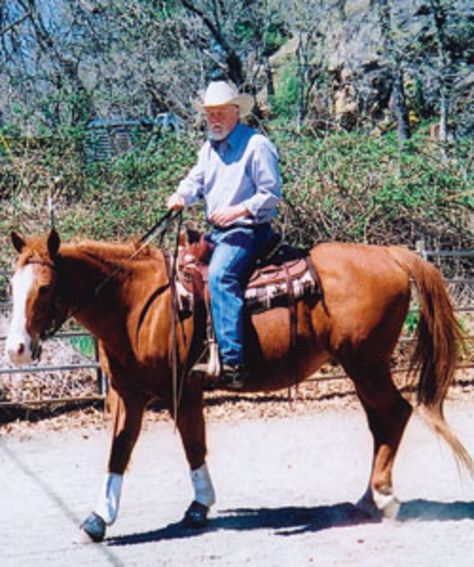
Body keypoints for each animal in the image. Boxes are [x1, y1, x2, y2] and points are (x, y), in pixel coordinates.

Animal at [5, 231, 472, 544]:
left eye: (45, 287)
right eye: (12, 286)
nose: (17, 349)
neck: (137, 302)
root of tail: (390, 255)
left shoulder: (180, 390)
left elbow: (191, 444)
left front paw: (198, 506)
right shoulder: (126, 394)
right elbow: (122, 450)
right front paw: (98, 520)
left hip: (366, 364)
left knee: (395, 413)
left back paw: (385, 497)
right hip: (363, 368)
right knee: (382, 421)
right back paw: (366, 498)